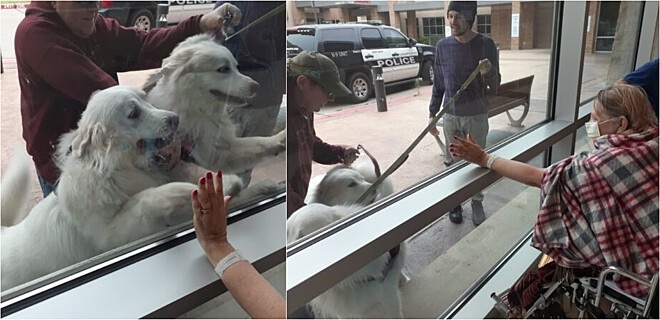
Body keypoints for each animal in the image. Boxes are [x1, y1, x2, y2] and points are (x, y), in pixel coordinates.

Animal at [1, 86, 199, 292]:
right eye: (133, 113)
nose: (175, 118)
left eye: (147, 100)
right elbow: (143, 200)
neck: (114, 169)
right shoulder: (111, 235)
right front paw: (181, 192)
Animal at [143, 34, 284, 175]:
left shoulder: (223, 150)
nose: (257, 87)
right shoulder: (211, 155)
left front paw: (281, 139)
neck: (197, 109)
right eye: (223, 69)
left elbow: (259, 141)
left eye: (236, 67)